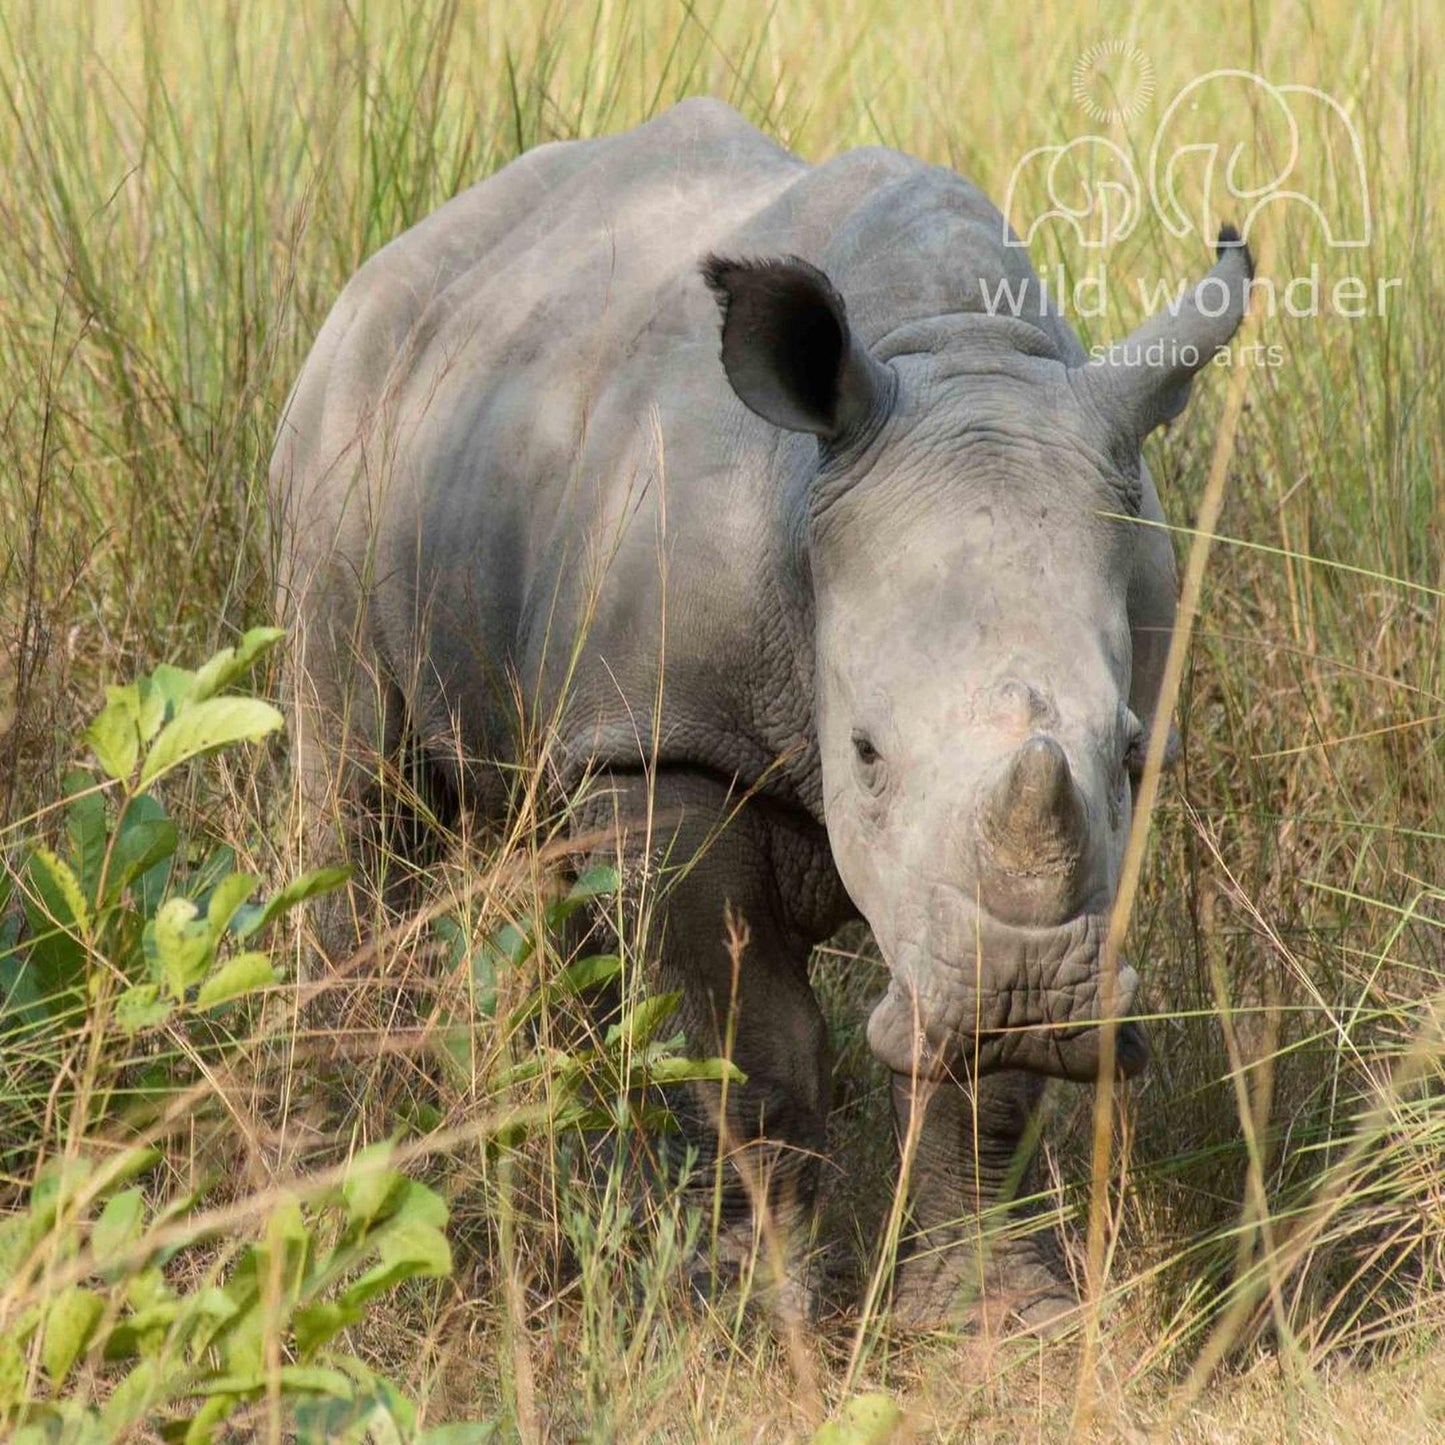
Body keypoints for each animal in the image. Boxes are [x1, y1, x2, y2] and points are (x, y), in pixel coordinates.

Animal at [272, 98, 1250, 1327]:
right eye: (864, 752)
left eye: (1122, 747)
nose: (1022, 994)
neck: (952, 348)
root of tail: (398, 258)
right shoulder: (668, 744)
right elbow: (742, 1043)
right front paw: (753, 1311)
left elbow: (978, 1081)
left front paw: (997, 1319)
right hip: (342, 428)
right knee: (356, 791)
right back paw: (350, 1130)